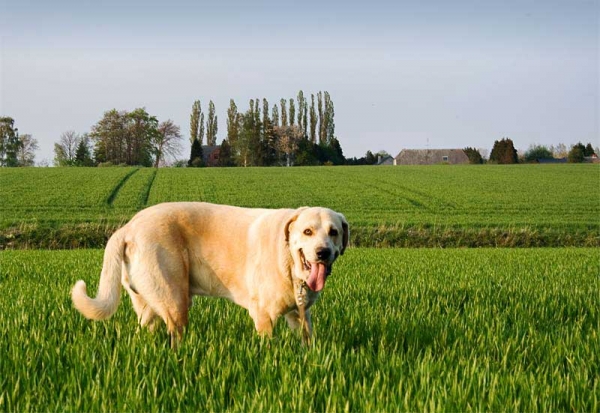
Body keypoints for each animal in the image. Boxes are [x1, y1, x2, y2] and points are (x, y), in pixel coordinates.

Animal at [72, 201, 350, 346]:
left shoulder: (300, 315)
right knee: (175, 335)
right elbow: (267, 346)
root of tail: (128, 227)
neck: (290, 261)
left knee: (145, 329)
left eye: (334, 232)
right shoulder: (264, 316)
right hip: (175, 301)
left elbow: (307, 340)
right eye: (307, 232)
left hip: (148, 303)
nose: (323, 252)